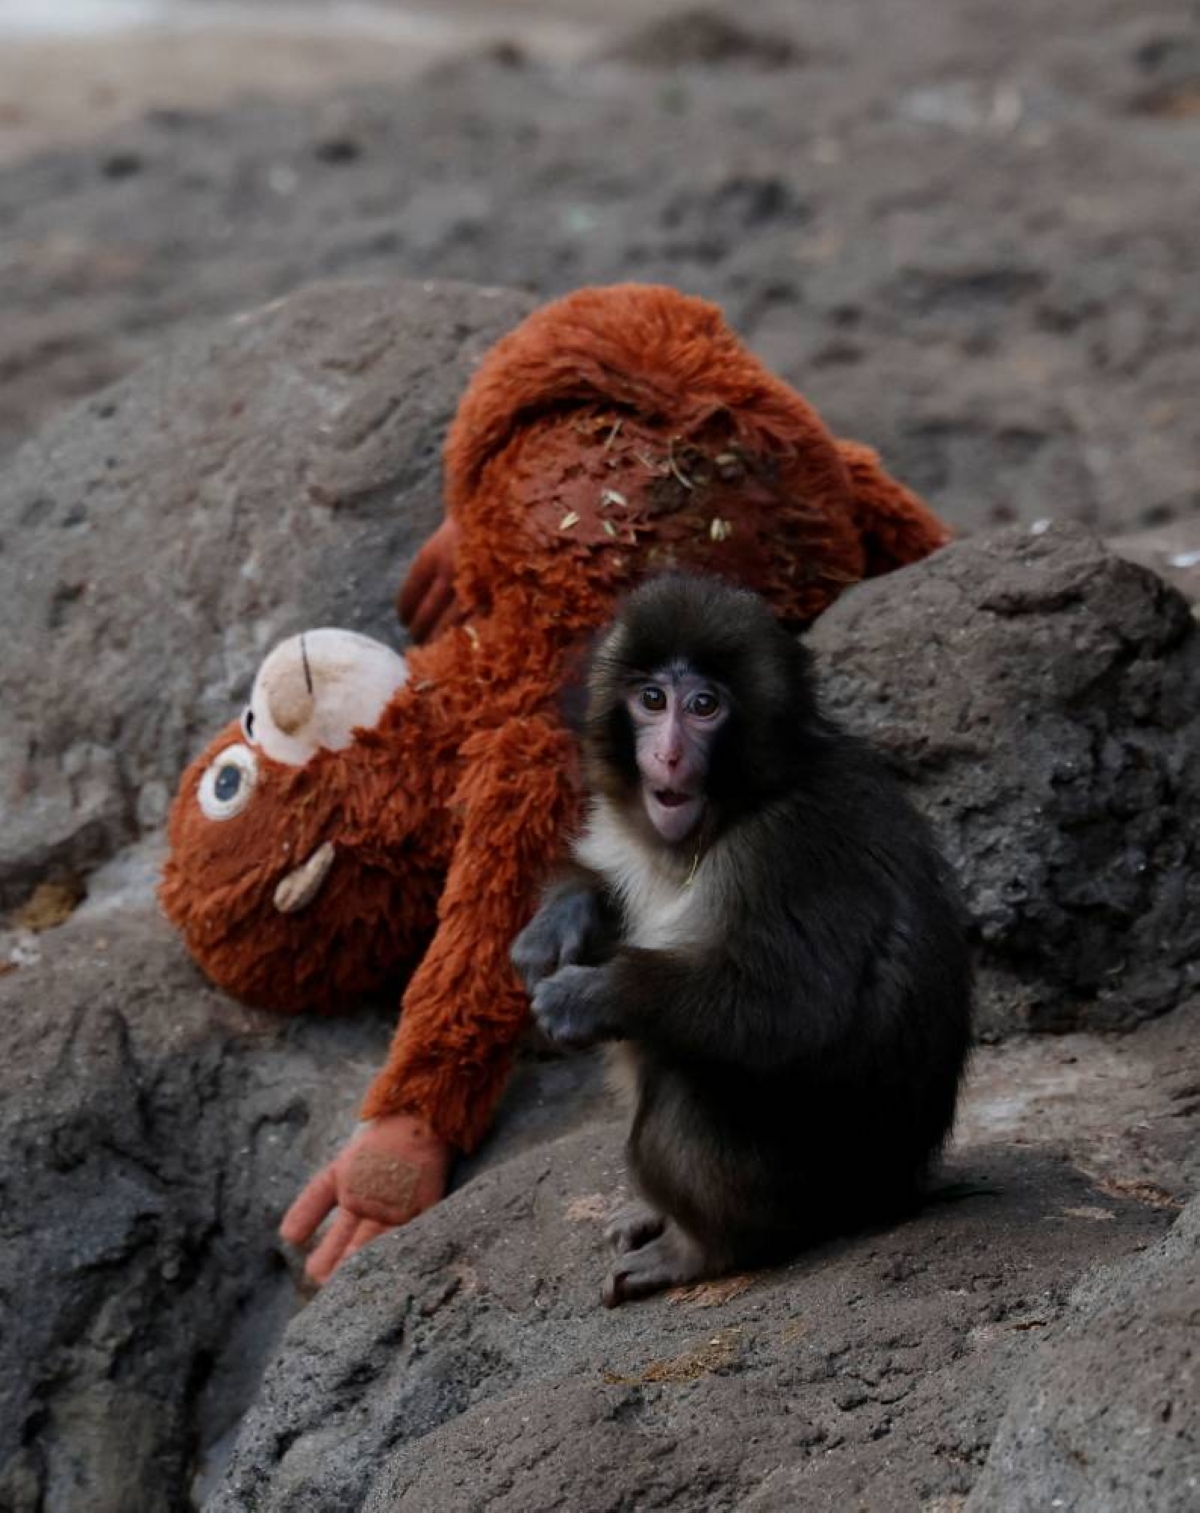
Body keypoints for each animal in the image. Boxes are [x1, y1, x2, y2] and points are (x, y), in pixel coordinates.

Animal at [511, 571, 972, 1307]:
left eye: (704, 706)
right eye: (652, 699)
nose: (668, 752)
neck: (723, 816)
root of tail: (891, 1191)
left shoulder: (790, 847)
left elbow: (794, 1009)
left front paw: (592, 994)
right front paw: (560, 923)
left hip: (805, 1187)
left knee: (685, 1065)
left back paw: (699, 1248)